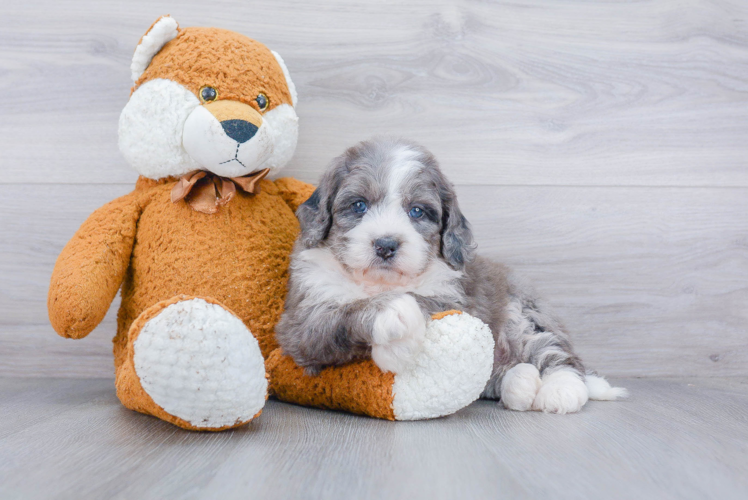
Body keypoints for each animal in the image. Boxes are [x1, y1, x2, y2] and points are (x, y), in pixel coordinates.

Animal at [274, 137, 624, 414]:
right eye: (359, 205)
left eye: (417, 211)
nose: (386, 245)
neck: (378, 284)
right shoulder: (299, 323)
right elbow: (338, 316)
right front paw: (393, 318)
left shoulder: (456, 298)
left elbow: (425, 302)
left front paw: (397, 334)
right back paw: (520, 384)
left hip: (522, 317)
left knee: (558, 356)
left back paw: (559, 390)